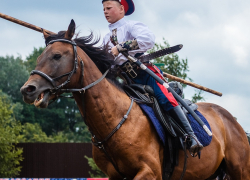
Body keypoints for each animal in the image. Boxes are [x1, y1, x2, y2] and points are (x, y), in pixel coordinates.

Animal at [20, 20, 250, 179]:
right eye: (39, 57)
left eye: (57, 56)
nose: (28, 89)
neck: (116, 119)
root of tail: (232, 121)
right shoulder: (115, 175)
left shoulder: (150, 172)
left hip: (240, 171)